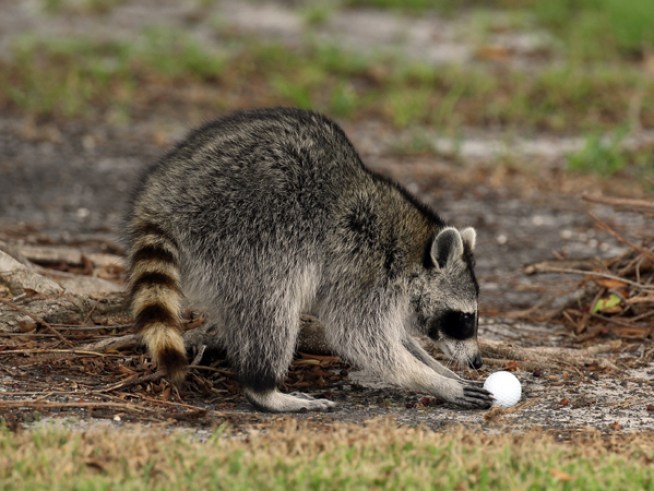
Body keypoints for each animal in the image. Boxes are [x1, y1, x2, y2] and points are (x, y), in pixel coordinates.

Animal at [126, 107, 492, 412]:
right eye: (464, 319)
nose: (477, 362)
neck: (412, 247)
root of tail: (162, 200)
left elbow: (395, 337)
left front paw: (440, 369)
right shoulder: (364, 267)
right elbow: (359, 335)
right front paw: (435, 381)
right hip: (247, 231)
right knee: (272, 307)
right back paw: (264, 390)